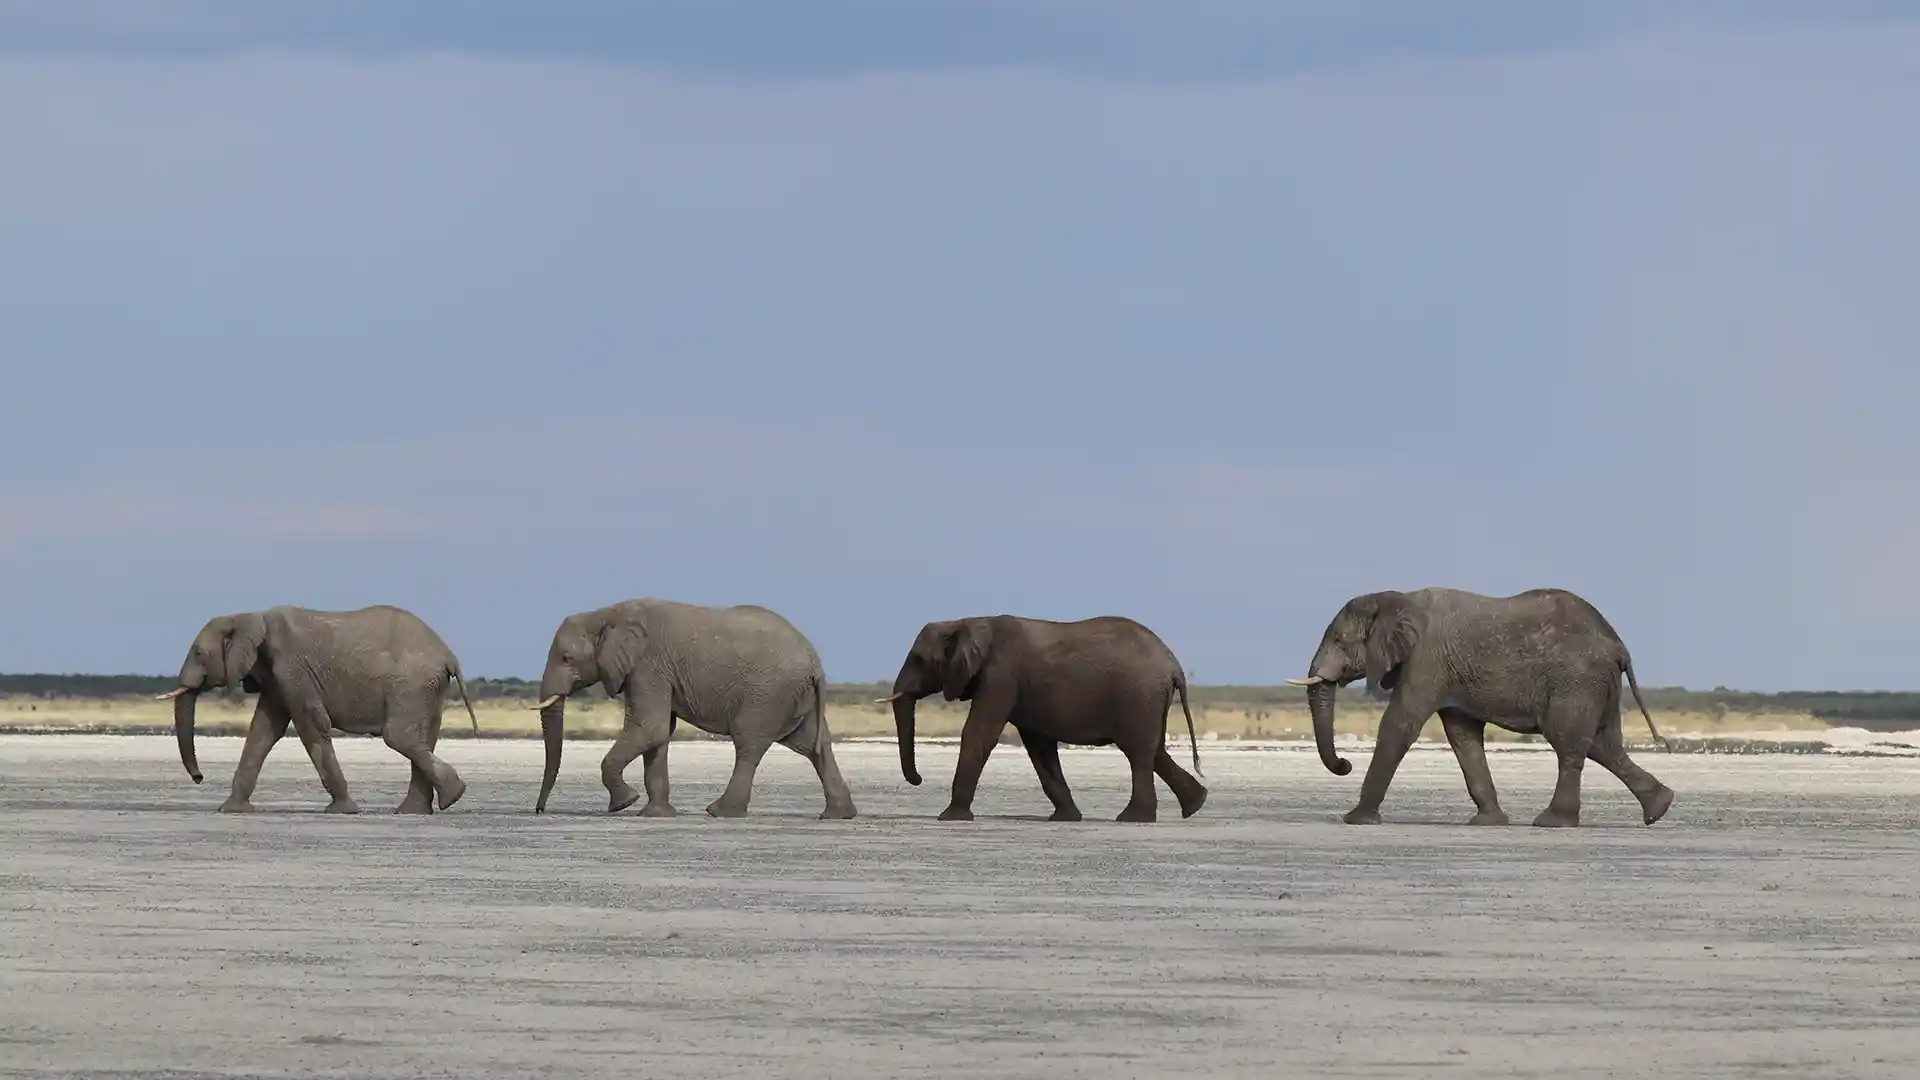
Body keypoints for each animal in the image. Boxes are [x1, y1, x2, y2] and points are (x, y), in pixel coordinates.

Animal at [157, 599, 480, 810]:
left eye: (199, 654)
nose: (199, 778)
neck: (250, 617)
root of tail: (448, 653)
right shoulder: (276, 677)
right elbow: (263, 730)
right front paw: (231, 810)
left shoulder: (292, 667)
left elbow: (310, 725)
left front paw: (343, 810)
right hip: (427, 686)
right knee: (422, 737)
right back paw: (419, 809)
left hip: (411, 683)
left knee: (398, 736)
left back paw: (452, 795)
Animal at [529, 595, 852, 814]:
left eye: (567, 658)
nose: (539, 810)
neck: (605, 614)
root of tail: (815, 661)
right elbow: (659, 734)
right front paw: (656, 814)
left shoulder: (647, 665)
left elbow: (650, 727)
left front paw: (623, 804)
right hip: (792, 695)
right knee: (813, 746)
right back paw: (837, 815)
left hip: (769, 693)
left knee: (748, 743)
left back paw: (719, 812)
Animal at [879, 611, 1198, 818]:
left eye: (920, 660)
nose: (918, 779)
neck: (968, 621)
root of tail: (1174, 665)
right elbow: (1039, 746)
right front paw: (1066, 818)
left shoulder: (1001, 676)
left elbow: (979, 733)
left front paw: (950, 816)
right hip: (1149, 700)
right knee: (1154, 750)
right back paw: (1194, 806)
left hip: (1139, 696)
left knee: (1138, 752)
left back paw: (1133, 817)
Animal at [1290, 588, 1681, 822]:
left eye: (1339, 641)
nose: (1345, 764)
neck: (1397, 598)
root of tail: (1618, 645)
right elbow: (1462, 736)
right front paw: (1489, 821)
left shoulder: (1427, 661)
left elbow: (1400, 725)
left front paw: (1356, 819)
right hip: (1598, 683)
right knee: (1604, 744)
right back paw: (1658, 809)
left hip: (1578, 680)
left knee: (1569, 741)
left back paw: (1552, 822)